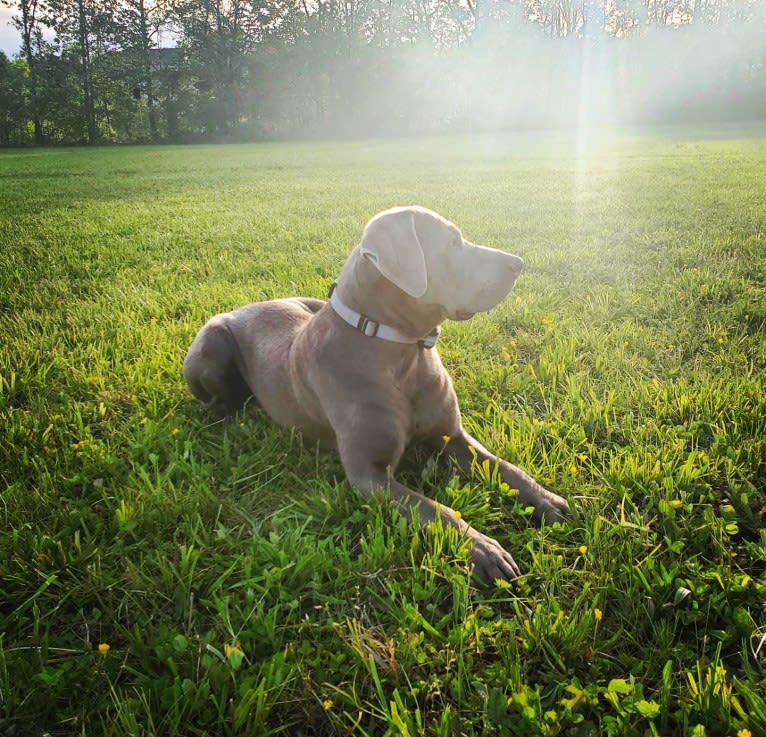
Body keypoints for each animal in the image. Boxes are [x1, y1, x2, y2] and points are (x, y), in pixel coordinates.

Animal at [186, 207, 568, 580]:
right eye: (452, 242)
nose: (517, 262)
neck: (401, 350)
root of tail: (243, 307)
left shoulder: (453, 434)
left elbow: (504, 466)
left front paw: (547, 500)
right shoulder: (369, 475)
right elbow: (433, 508)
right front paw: (484, 549)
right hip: (210, 345)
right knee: (215, 401)